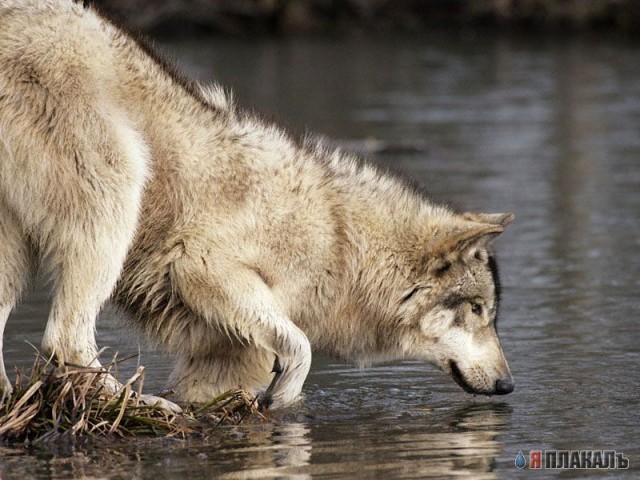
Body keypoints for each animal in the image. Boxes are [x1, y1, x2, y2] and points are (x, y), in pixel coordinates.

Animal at [0, 0, 512, 412]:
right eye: (478, 311)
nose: (509, 386)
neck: (340, 240)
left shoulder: (222, 361)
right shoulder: (202, 267)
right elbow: (302, 348)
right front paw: (283, 395)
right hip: (118, 198)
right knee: (66, 339)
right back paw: (146, 406)